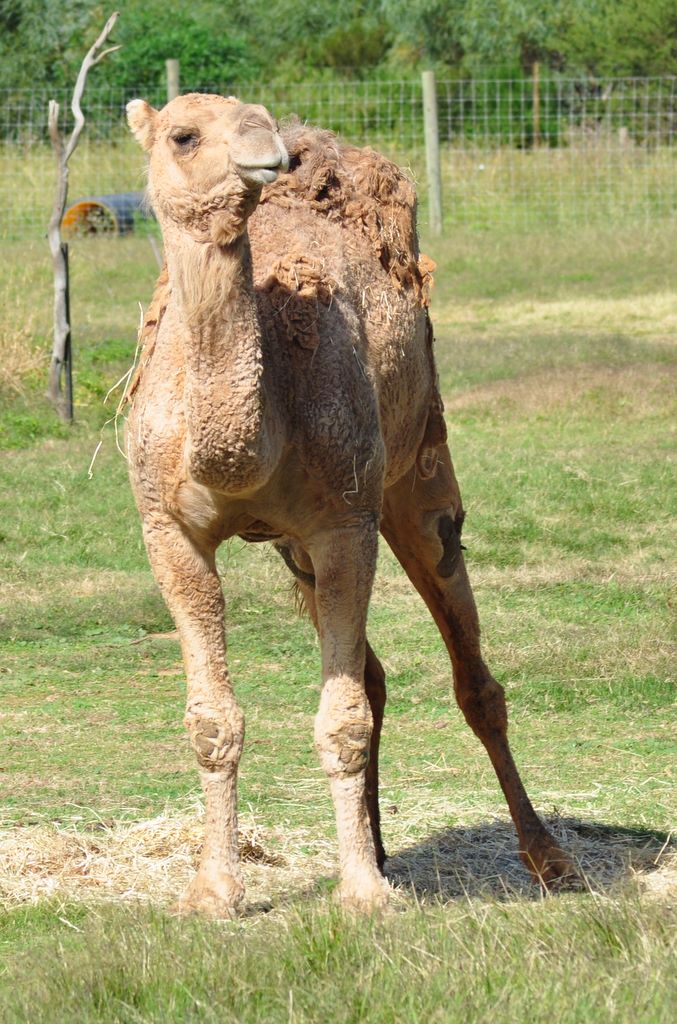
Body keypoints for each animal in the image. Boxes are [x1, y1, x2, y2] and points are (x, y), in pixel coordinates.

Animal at [125, 92, 578, 916]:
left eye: (254, 114)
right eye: (183, 134)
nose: (267, 150)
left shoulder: (343, 521)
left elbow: (342, 721)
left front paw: (362, 893)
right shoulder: (169, 529)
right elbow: (213, 720)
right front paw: (214, 890)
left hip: (416, 474)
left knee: (473, 675)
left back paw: (548, 859)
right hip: (295, 547)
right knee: (375, 672)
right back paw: (381, 846)